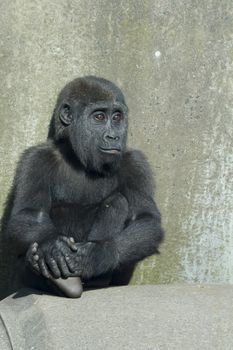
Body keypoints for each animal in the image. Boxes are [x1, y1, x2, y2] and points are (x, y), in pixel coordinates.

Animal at [0, 76, 164, 298]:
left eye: (117, 118)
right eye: (99, 117)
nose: (113, 137)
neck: (77, 158)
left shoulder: (136, 163)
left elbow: (146, 220)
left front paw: (98, 255)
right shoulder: (35, 159)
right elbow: (30, 214)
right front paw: (51, 246)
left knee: (117, 202)